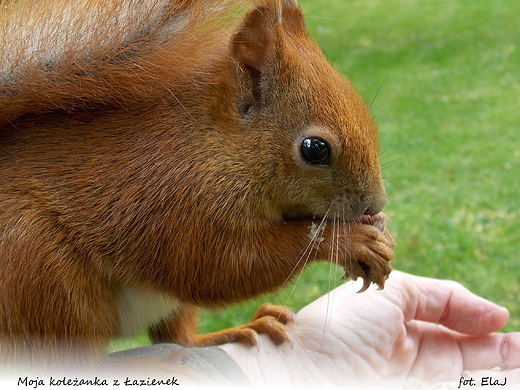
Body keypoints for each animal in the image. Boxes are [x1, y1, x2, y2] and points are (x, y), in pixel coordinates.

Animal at [0, 0, 394, 372]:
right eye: (315, 149)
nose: (374, 204)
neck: (217, 146)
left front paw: (380, 233)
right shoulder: (172, 199)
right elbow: (220, 265)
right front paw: (348, 240)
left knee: (178, 336)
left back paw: (233, 331)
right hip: (38, 269)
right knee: (69, 359)